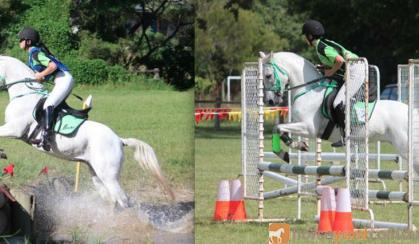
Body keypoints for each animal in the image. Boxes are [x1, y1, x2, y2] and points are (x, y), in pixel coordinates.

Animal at [0, 55, 176, 208]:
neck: (24, 94)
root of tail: (120, 140)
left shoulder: (15, 129)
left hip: (109, 175)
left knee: (123, 199)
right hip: (96, 172)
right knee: (111, 199)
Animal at [260, 51, 416, 169]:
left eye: (268, 76)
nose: (269, 101)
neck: (308, 90)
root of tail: (411, 111)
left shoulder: (309, 128)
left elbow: (279, 127)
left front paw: (291, 149)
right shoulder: (297, 122)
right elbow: (277, 128)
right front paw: (294, 147)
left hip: (404, 146)